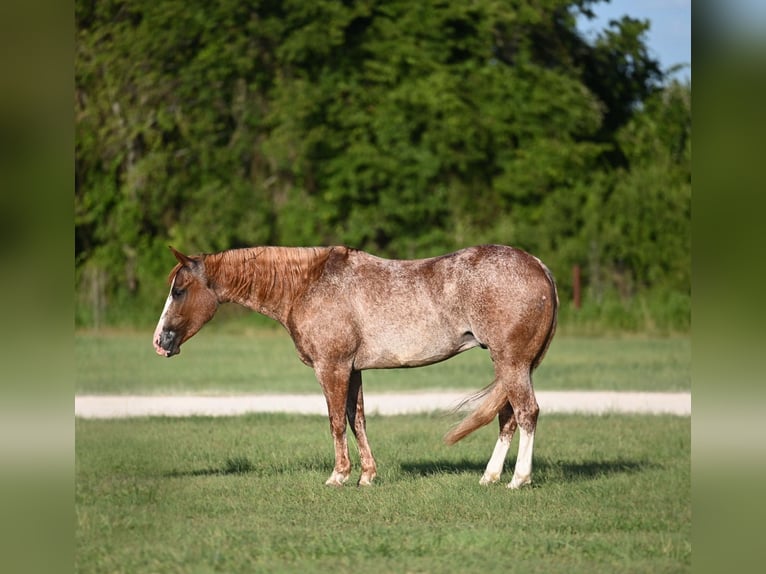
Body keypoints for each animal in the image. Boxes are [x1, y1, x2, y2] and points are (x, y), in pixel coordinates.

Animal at [153, 244, 558, 488]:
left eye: (179, 291)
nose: (160, 342)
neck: (307, 285)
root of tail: (538, 265)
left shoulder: (331, 367)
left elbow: (335, 421)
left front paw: (339, 475)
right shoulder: (353, 370)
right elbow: (356, 419)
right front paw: (367, 475)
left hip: (511, 362)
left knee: (527, 412)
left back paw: (519, 479)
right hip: (511, 366)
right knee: (507, 417)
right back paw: (490, 477)